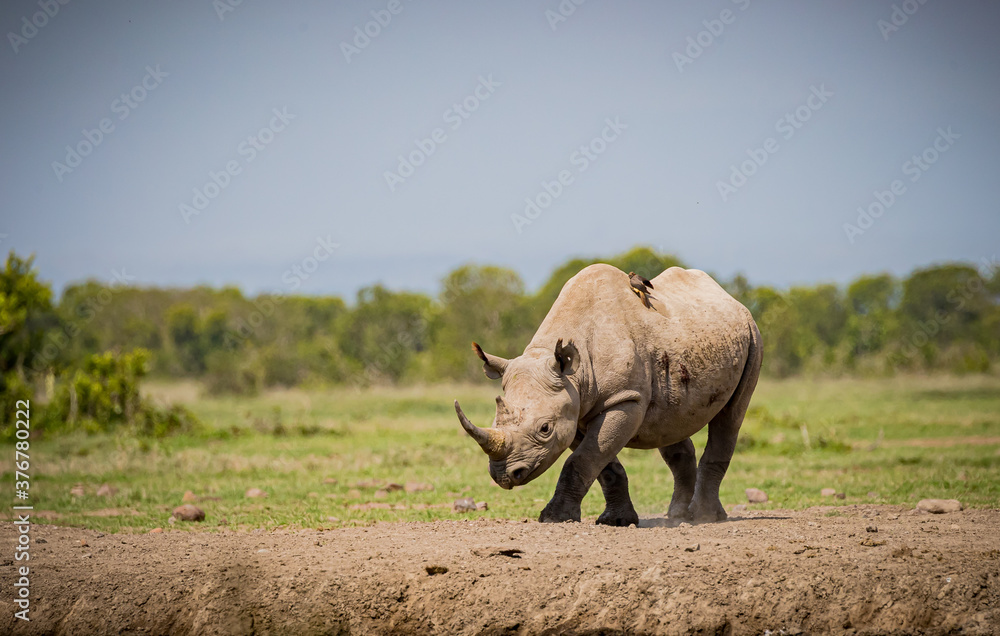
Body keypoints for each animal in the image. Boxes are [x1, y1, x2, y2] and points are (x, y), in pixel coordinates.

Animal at [454, 264, 762, 525]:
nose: (504, 476)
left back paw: (704, 518)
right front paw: (616, 521)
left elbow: (582, 460)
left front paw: (553, 518)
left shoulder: (624, 399)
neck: (573, 373)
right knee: (671, 421)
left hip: (753, 336)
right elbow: (602, 465)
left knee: (731, 417)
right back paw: (677, 516)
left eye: (544, 429)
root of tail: (728, 297)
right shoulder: (575, 409)